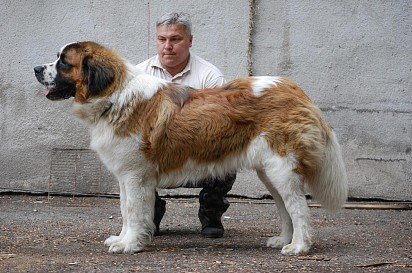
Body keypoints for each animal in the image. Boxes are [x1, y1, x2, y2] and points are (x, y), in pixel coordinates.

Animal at [33, 41, 348, 254]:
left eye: (63, 62)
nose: (36, 68)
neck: (115, 97)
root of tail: (295, 89)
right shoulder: (126, 175)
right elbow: (125, 209)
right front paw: (123, 239)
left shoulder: (135, 176)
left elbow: (133, 210)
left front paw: (130, 245)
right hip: (269, 172)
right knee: (285, 206)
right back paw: (283, 239)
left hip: (280, 168)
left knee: (298, 207)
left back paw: (299, 246)